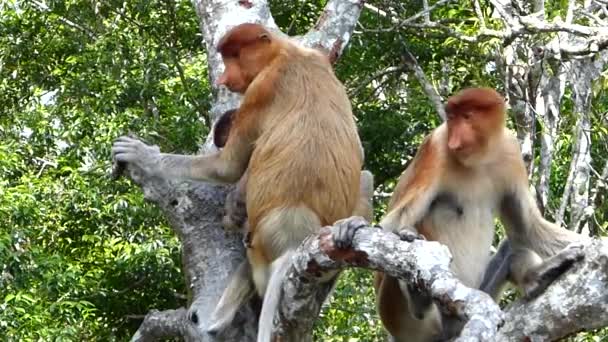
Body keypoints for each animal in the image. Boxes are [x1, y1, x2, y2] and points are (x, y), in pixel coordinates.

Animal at [112, 24, 368, 342]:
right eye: (226, 57)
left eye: (236, 56)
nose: (225, 78)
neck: (284, 53)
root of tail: (295, 234)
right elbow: (360, 152)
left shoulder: (260, 89)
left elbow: (227, 167)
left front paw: (143, 155)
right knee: (366, 177)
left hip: (257, 248)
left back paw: (212, 322)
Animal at [372, 87, 588, 340]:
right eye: (452, 118)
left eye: (467, 117)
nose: (455, 140)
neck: (478, 160)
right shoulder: (436, 146)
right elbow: (391, 224)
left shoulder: (511, 152)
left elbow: (527, 228)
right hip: (406, 321)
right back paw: (419, 298)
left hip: (480, 294)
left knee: (513, 246)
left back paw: (537, 277)